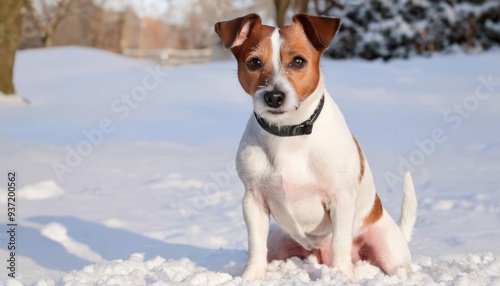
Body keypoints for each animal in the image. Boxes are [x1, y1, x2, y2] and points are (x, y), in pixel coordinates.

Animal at [215, 13, 418, 282]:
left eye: (298, 61)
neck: (289, 133)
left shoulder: (340, 199)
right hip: (278, 239)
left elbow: (340, 242)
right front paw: (251, 277)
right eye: (254, 62)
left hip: (387, 250)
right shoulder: (253, 201)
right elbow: (256, 244)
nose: (274, 96)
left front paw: (341, 277)